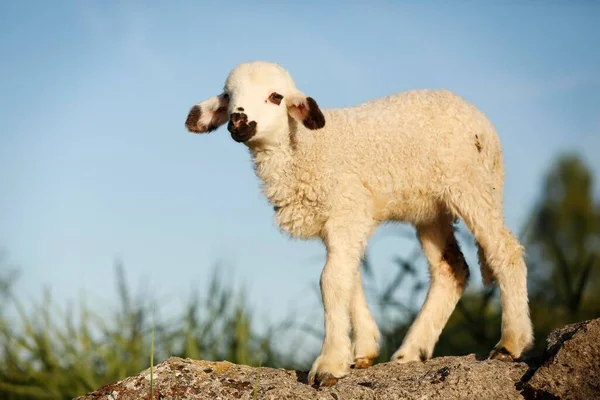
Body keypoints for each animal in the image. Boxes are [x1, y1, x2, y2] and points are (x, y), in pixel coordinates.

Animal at [184, 61, 536, 386]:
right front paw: (363, 350)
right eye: (229, 97)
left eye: (276, 97)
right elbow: (347, 278)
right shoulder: (340, 218)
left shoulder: (347, 208)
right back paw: (410, 353)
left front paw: (329, 364)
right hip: (430, 209)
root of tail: (483, 123)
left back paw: (510, 344)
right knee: (452, 269)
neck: (307, 149)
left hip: (469, 184)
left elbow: (330, 280)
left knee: (504, 249)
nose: (239, 121)